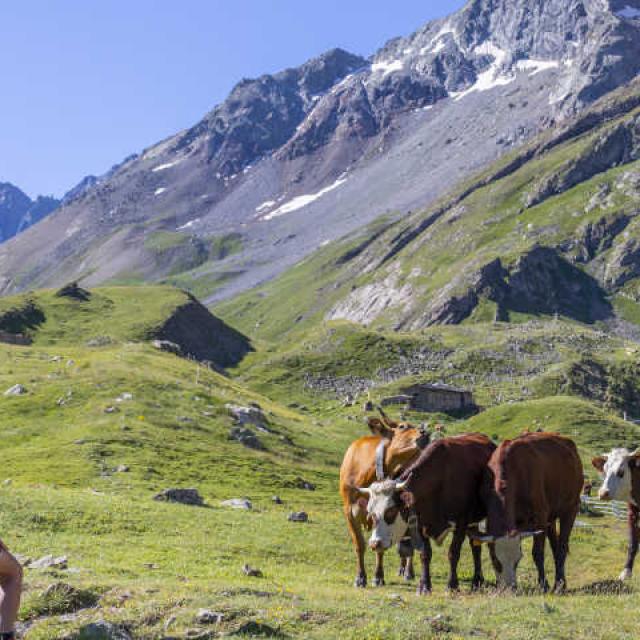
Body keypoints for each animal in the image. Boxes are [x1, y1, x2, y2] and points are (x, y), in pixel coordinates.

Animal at [340, 412, 430, 588]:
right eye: (402, 426)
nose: (425, 433)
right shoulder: (350, 512)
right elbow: (359, 544)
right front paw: (360, 577)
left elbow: (381, 547)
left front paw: (378, 576)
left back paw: (408, 571)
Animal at [360, 432, 496, 592]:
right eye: (370, 511)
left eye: (391, 510)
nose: (375, 543)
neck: (441, 478)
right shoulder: (421, 524)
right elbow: (425, 554)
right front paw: (424, 585)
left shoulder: (461, 524)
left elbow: (453, 553)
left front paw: (452, 585)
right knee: (476, 547)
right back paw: (477, 581)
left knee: (477, 547)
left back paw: (476, 581)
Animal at [476, 432, 584, 592]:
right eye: (496, 560)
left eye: (517, 560)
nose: (510, 588)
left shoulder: (540, 518)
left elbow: (537, 553)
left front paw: (543, 585)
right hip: (551, 517)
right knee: (555, 546)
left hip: (571, 507)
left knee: (562, 546)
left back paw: (560, 584)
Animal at [592, 450, 640, 580]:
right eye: (604, 471)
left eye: (621, 472)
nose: (603, 493)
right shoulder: (632, 513)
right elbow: (632, 543)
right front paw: (626, 572)